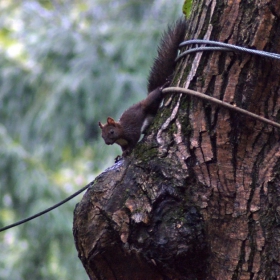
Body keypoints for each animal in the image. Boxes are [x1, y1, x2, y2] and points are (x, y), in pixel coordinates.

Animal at [97, 18, 187, 156]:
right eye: (102, 136)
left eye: (111, 132)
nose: (107, 142)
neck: (121, 135)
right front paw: (122, 153)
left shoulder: (131, 131)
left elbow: (134, 140)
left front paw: (129, 149)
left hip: (149, 102)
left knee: (156, 95)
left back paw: (163, 86)